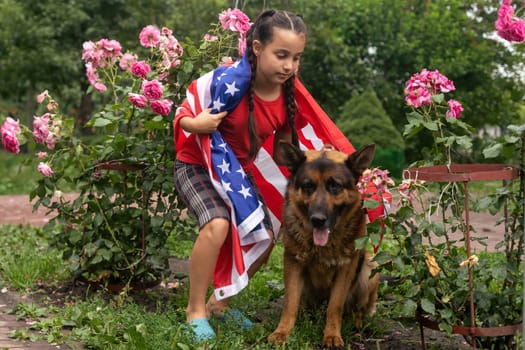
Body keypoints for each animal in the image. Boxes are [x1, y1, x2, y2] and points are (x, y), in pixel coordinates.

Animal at [268, 142, 378, 348]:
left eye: (334, 185)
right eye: (308, 186)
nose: (318, 220)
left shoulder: (345, 268)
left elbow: (335, 305)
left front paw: (332, 335)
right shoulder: (293, 262)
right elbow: (290, 303)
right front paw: (282, 332)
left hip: (370, 268)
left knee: (358, 308)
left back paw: (357, 322)